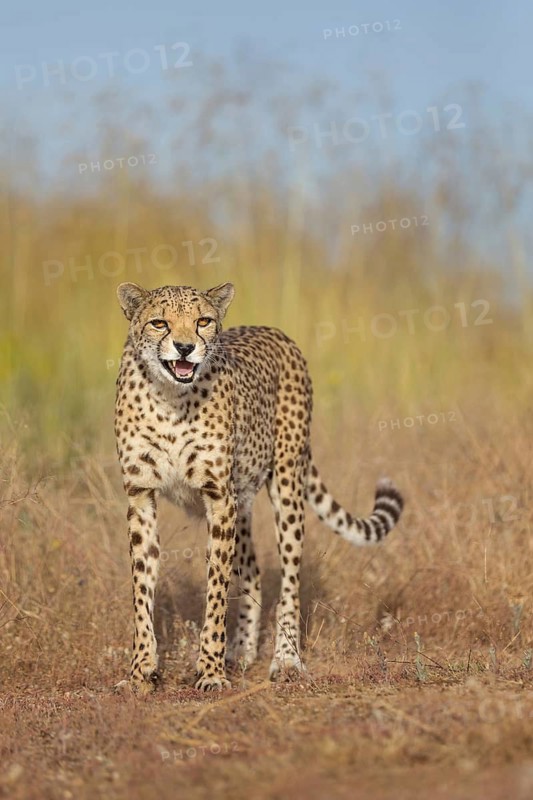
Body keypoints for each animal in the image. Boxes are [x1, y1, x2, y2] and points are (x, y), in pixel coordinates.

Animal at [114, 281, 404, 692]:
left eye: (203, 321)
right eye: (159, 323)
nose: (185, 347)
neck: (170, 396)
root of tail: (275, 332)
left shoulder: (219, 499)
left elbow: (216, 592)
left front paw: (210, 672)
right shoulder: (141, 497)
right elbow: (142, 589)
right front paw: (141, 672)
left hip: (285, 484)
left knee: (289, 582)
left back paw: (285, 659)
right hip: (244, 502)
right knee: (251, 570)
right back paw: (242, 652)